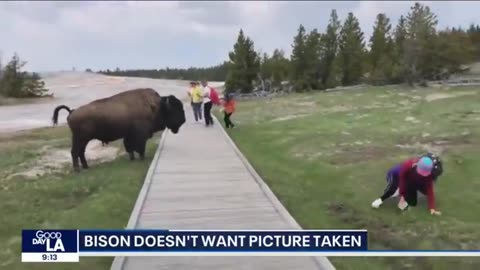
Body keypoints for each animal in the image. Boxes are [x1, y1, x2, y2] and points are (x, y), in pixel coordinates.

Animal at [52, 87, 186, 172]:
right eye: (175, 109)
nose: (183, 120)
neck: (157, 106)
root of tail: (72, 111)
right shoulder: (140, 136)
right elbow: (139, 148)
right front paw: (141, 159)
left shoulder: (128, 136)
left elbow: (130, 148)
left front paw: (132, 159)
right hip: (80, 138)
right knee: (75, 152)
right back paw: (78, 170)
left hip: (83, 139)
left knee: (80, 152)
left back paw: (86, 167)